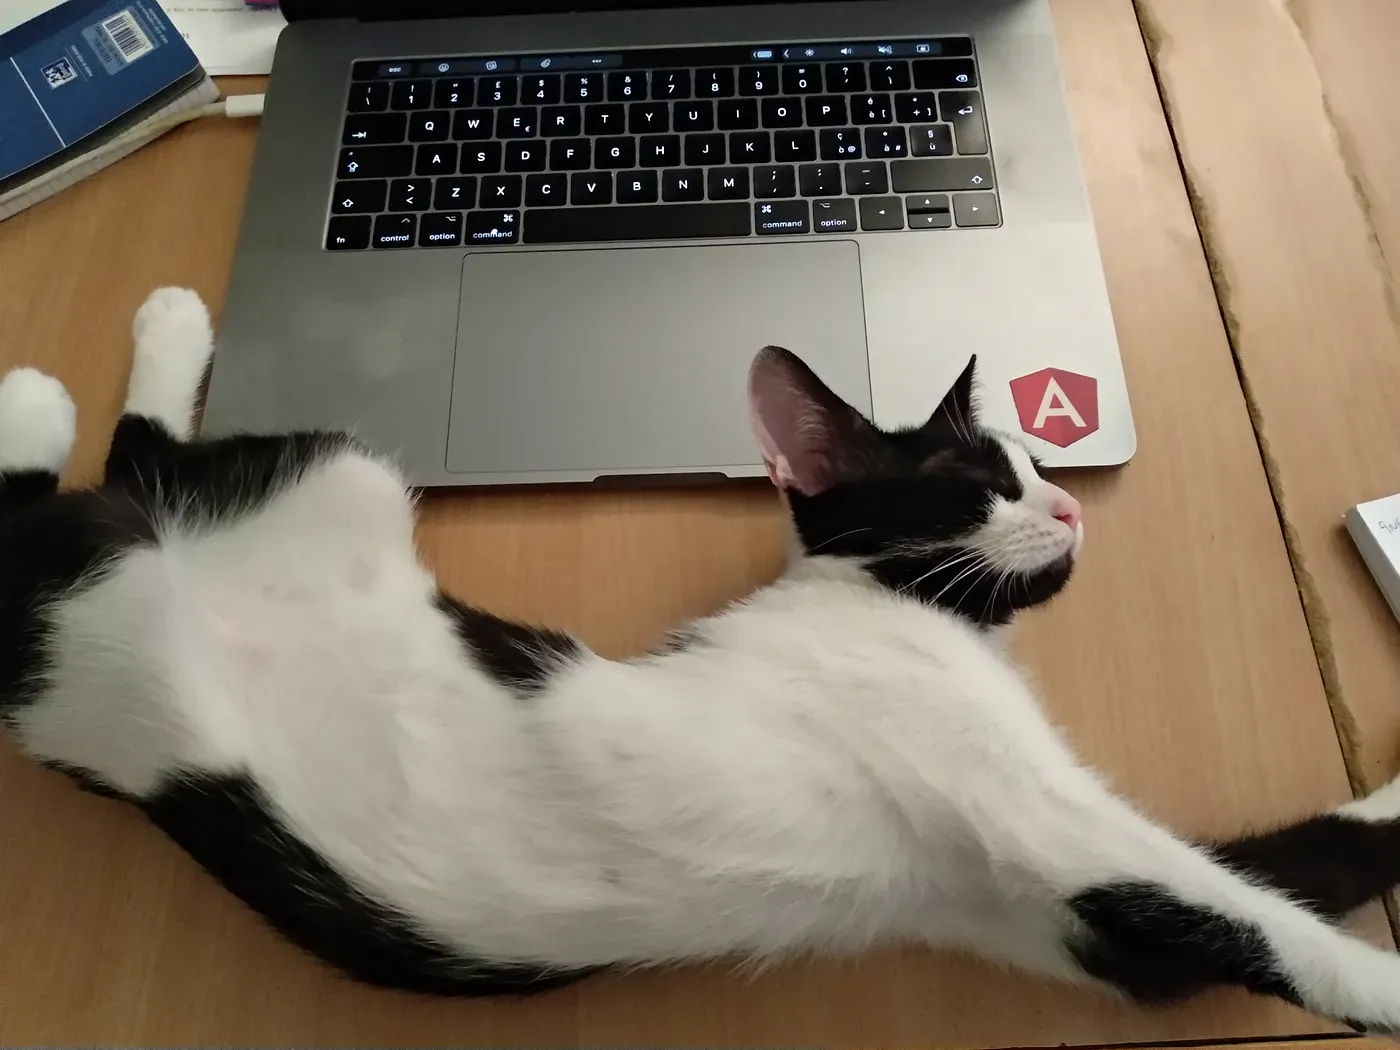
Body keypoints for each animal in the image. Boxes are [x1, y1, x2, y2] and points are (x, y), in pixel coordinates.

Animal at [2, 288, 1400, 1036]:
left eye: (1041, 463)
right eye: (975, 483)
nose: (1067, 509)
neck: (914, 619)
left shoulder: (1061, 927)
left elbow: (1274, 880)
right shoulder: (1047, 821)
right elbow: (1251, 915)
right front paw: (1380, 987)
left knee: (135, 474)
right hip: (304, 485)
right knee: (98, 482)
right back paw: (84, 374)